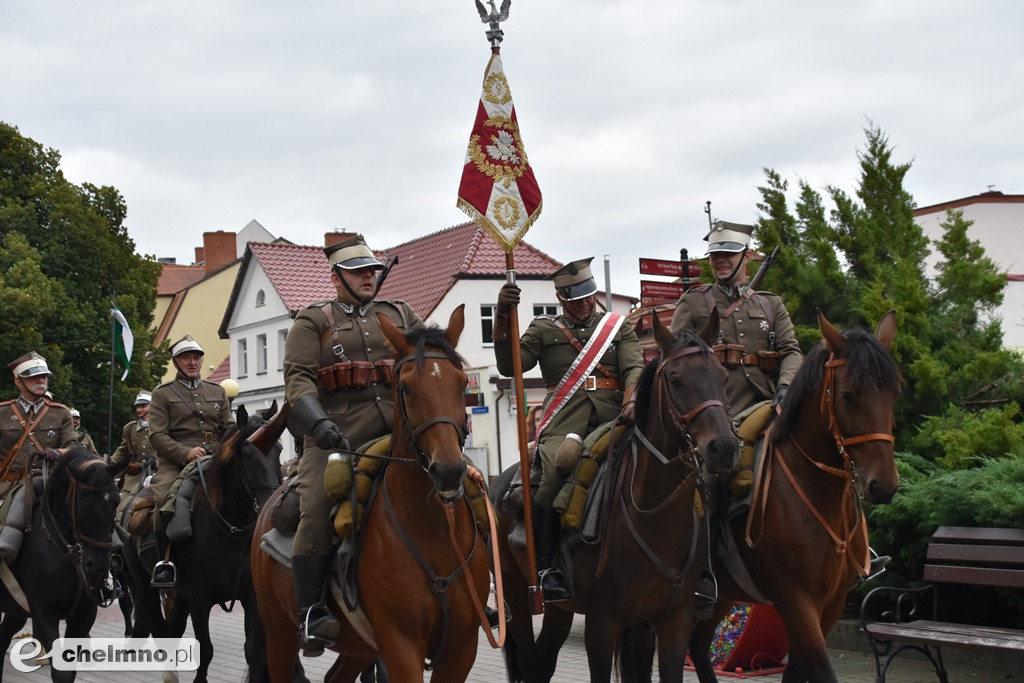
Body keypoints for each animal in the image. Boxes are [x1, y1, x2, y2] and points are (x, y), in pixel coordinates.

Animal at [0, 448, 119, 683]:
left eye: (116, 502)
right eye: (82, 504)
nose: (98, 565)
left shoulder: (85, 613)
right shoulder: (44, 611)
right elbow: (61, 672)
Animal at [122, 403, 284, 683]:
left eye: (280, 449)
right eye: (246, 452)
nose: (270, 508)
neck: (232, 530)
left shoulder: (251, 597)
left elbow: (252, 650)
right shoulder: (200, 598)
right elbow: (205, 649)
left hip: (179, 592)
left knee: (174, 627)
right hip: (143, 581)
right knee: (159, 625)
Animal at [249, 307, 493, 683]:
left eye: (462, 384)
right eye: (405, 387)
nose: (449, 470)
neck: (436, 535)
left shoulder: (462, 648)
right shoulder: (401, 645)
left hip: (358, 647)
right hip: (279, 635)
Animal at [491, 311, 741, 683]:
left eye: (723, 376)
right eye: (676, 379)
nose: (723, 448)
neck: (654, 515)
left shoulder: (671, 622)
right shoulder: (602, 623)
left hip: (561, 610)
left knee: (544, 660)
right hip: (518, 597)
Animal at [684, 311, 901, 683]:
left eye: (893, 393)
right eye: (848, 395)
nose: (883, 484)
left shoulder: (830, 604)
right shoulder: (796, 601)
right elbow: (821, 670)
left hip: (724, 593)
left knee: (697, 645)